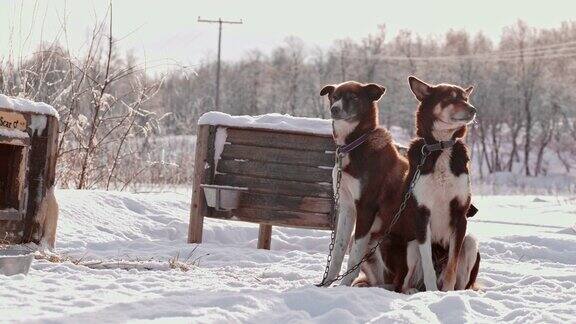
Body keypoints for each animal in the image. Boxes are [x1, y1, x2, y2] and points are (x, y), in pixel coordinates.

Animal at [320, 81, 410, 286]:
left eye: (353, 97)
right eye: (335, 97)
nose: (334, 109)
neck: (353, 145)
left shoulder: (366, 207)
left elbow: (354, 256)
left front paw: (343, 286)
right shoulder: (346, 206)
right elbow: (338, 250)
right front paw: (326, 283)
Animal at [398, 76, 480, 292]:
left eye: (465, 98)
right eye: (451, 98)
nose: (473, 109)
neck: (441, 147)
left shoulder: (460, 216)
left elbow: (452, 266)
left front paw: (446, 294)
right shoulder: (422, 215)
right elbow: (428, 265)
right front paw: (433, 293)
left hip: (470, 242)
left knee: (461, 279)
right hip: (411, 246)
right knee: (405, 284)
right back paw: (414, 290)